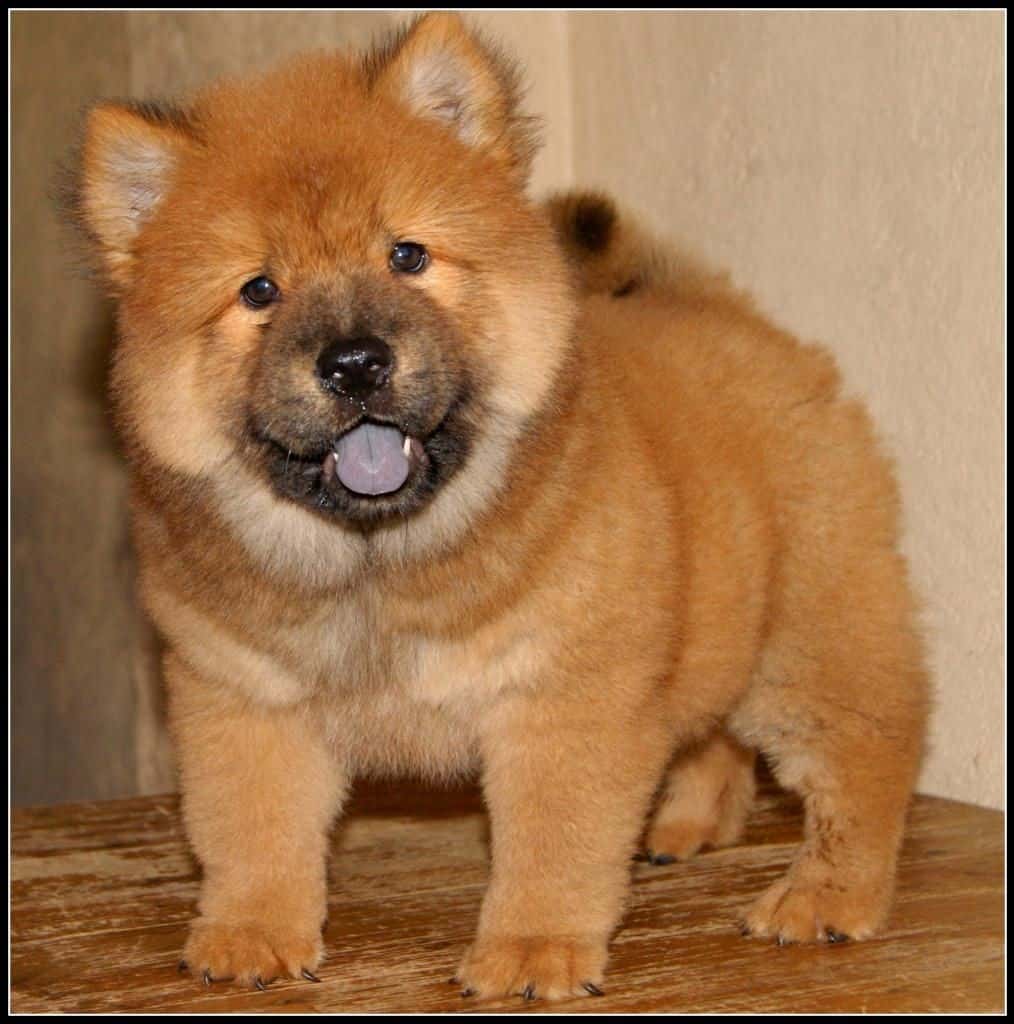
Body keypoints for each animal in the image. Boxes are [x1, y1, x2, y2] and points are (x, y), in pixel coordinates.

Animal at [69, 8, 930, 999]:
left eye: (407, 256)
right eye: (259, 290)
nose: (354, 362)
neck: (379, 563)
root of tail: (735, 316)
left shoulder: (564, 695)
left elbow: (552, 845)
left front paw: (532, 953)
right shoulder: (243, 695)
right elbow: (251, 831)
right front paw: (250, 936)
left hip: (810, 635)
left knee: (863, 758)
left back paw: (824, 899)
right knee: (715, 737)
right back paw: (686, 828)